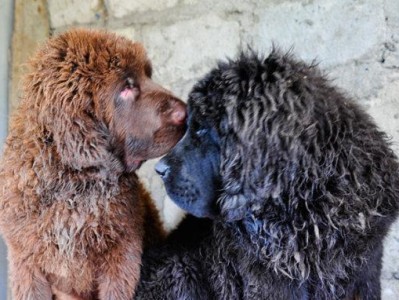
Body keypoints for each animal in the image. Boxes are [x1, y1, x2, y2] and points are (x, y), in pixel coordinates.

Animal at [0, 28, 188, 300]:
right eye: (126, 88)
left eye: (148, 75)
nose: (186, 112)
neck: (72, 183)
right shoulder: (26, 265)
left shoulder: (122, 256)